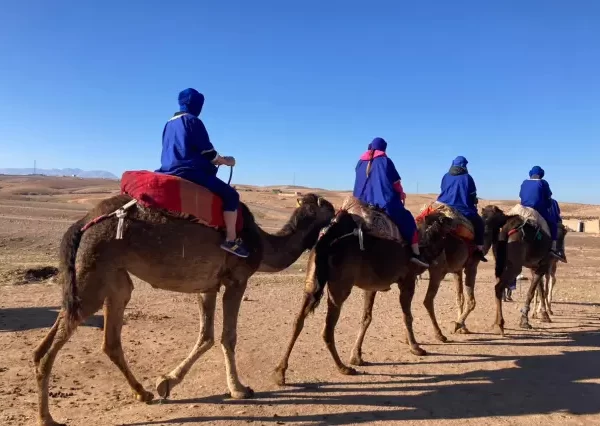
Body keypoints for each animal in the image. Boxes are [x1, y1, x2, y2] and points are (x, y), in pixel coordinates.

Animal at [32, 193, 336, 426]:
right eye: (328, 208)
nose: (338, 213)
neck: (263, 244)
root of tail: (83, 222)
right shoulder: (237, 279)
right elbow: (228, 337)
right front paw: (239, 389)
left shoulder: (208, 286)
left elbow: (206, 336)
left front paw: (166, 382)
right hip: (94, 269)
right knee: (55, 345)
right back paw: (47, 418)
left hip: (111, 277)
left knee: (100, 338)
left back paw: (142, 393)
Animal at [272, 206, 450, 386]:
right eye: (446, 220)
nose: (453, 221)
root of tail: (326, 242)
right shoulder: (407, 280)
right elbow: (407, 316)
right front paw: (415, 347)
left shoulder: (371, 287)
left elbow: (366, 318)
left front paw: (356, 356)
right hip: (340, 287)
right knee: (327, 328)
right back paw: (343, 368)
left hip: (311, 281)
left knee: (298, 321)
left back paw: (280, 373)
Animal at [478, 205, 556, 334]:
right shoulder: (543, 265)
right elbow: (532, 292)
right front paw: (525, 321)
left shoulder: (535, 266)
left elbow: (539, 289)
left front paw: (544, 315)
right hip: (515, 266)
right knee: (498, 287)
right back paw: (500, 324)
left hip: (501, 263)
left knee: (498, 286)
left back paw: (496, 323)